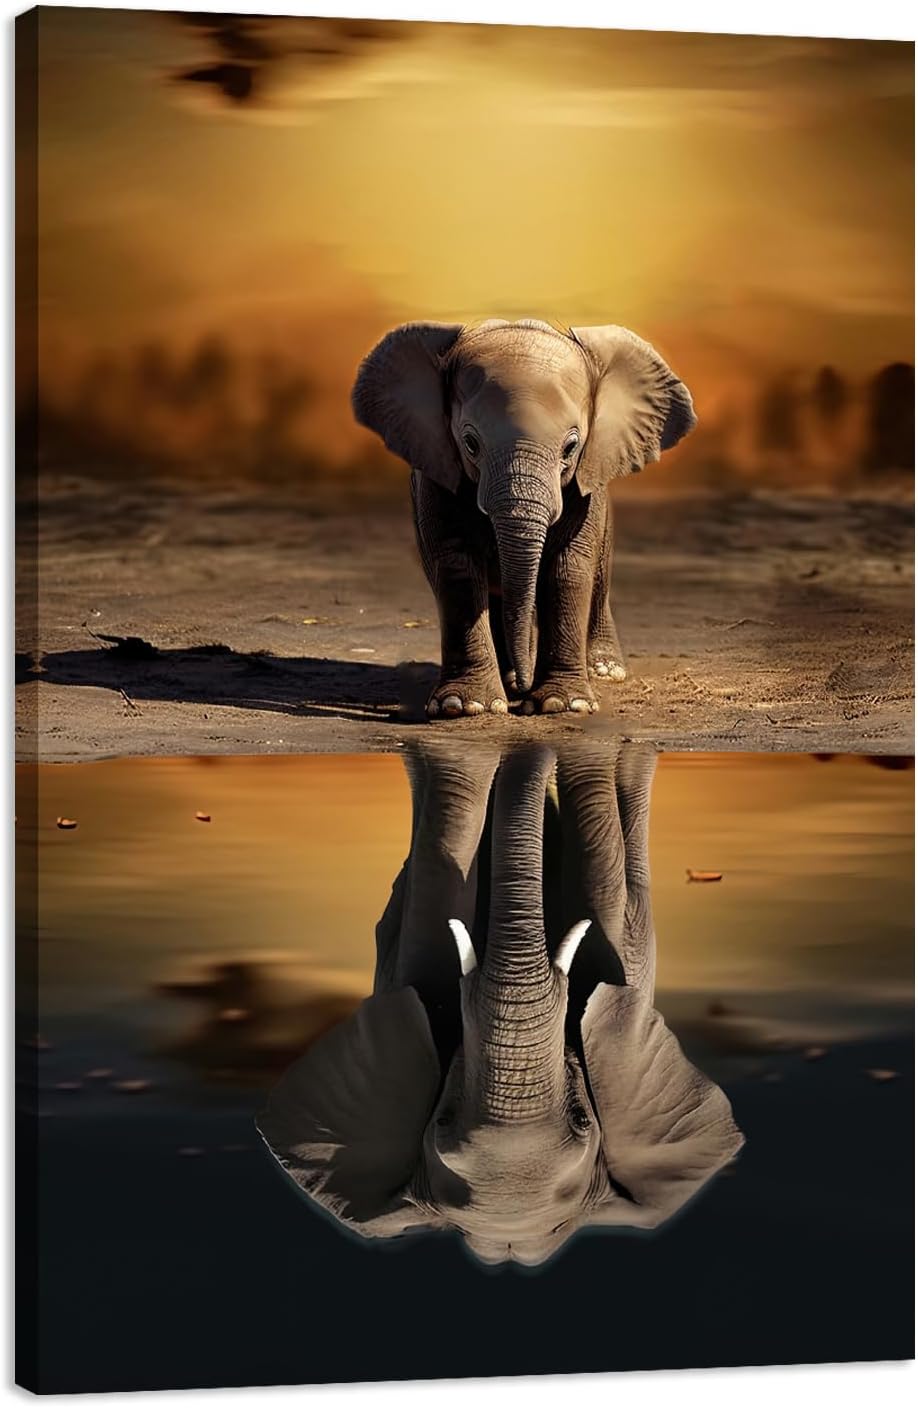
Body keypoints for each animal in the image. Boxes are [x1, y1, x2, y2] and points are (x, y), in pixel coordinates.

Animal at [351, 319, 695, 717]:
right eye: (470, 443)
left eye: (571, 447)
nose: (525, 691)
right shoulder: (435, 470)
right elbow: (456, 565)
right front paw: (464, 706)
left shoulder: (586, 483)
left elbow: (569, 567)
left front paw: (566, 705)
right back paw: (509, 680)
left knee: (597, 578)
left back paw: (601, 672)